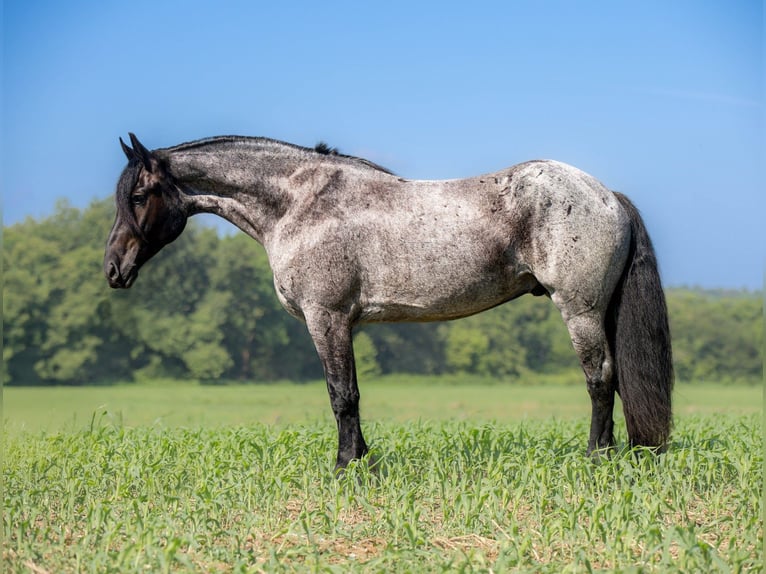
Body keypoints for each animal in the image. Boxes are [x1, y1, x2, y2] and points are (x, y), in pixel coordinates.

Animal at [104, 133, 673, 471]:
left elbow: (341, 396)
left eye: (138, 196)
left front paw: (344, 467)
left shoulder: (327, 319)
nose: (113, 269)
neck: (299, 204)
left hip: (579, 310)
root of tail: (607, 195)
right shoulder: (343, 324)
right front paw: (362, 460)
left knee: (600, 380)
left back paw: (595, 459)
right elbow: (351, 393)